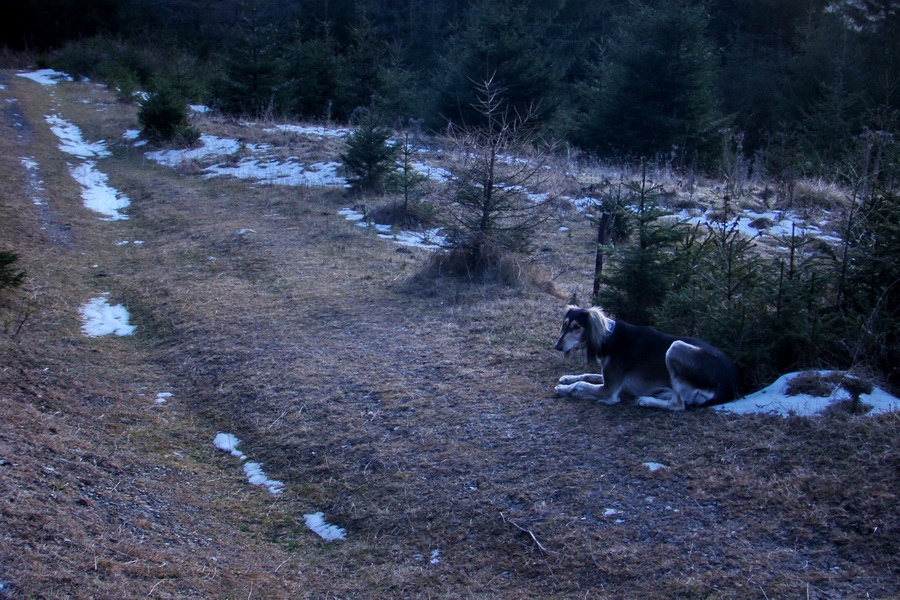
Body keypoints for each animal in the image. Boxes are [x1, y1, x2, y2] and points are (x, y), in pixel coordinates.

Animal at [556, 308, 740, 410]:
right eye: (564, 325)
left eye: (576, 327)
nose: (557, 346)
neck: (609, 336)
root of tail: (731, 384)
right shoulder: (609, 377)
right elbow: (587, 375)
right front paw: (567, 378)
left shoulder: (609, 390)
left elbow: (581, 385)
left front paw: (564, 388)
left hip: (675, 348)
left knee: (678, 405)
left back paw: (647, 400)